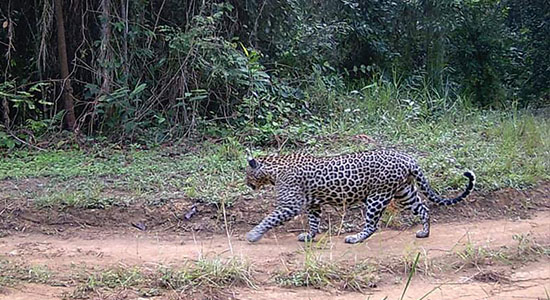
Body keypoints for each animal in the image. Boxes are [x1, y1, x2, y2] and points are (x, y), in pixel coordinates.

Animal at [244, 149, 476, 244]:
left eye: (247, 174)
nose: (247, 183)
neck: (273, 169)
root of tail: (408, 158)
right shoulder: (313, 204)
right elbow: (313, 222)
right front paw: (310, 237)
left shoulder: (289, 205)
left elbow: (269, 219)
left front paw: (253, 235)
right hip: (404, 192)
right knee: (424, 208)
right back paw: (424, 233)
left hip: (378, 196)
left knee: (372, 226)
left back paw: (355, 238)